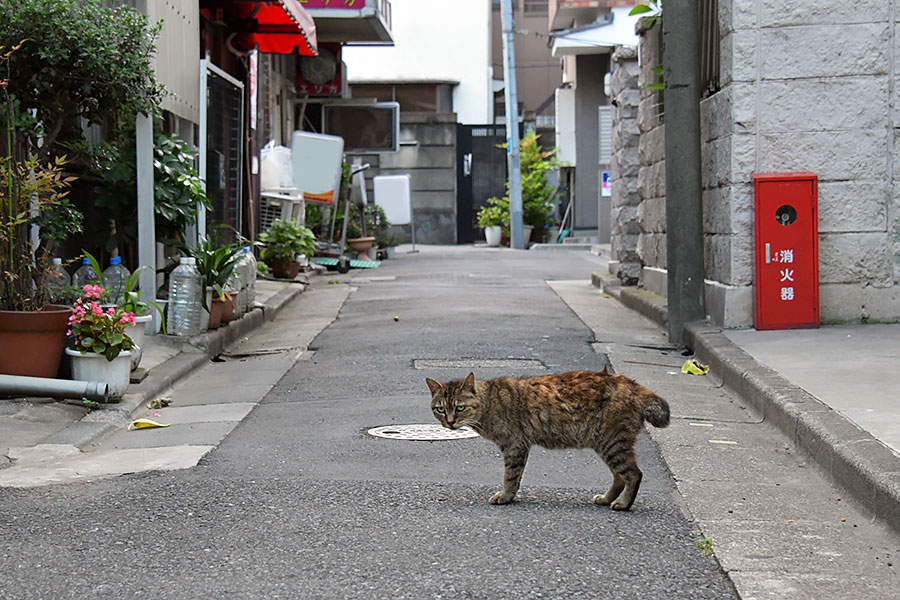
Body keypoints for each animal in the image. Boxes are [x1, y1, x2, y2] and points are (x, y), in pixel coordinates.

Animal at [428, 366, 668, 510]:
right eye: (440, 409)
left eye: (460, 407)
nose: (449, 422)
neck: (490, 402)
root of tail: (633, 384)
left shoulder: (514, 445)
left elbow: (511, 476)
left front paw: (506, 497)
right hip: (606, 444)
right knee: (619, 476)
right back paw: (607, 498)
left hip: (612, 443)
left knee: (634, 474)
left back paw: (624, 504)